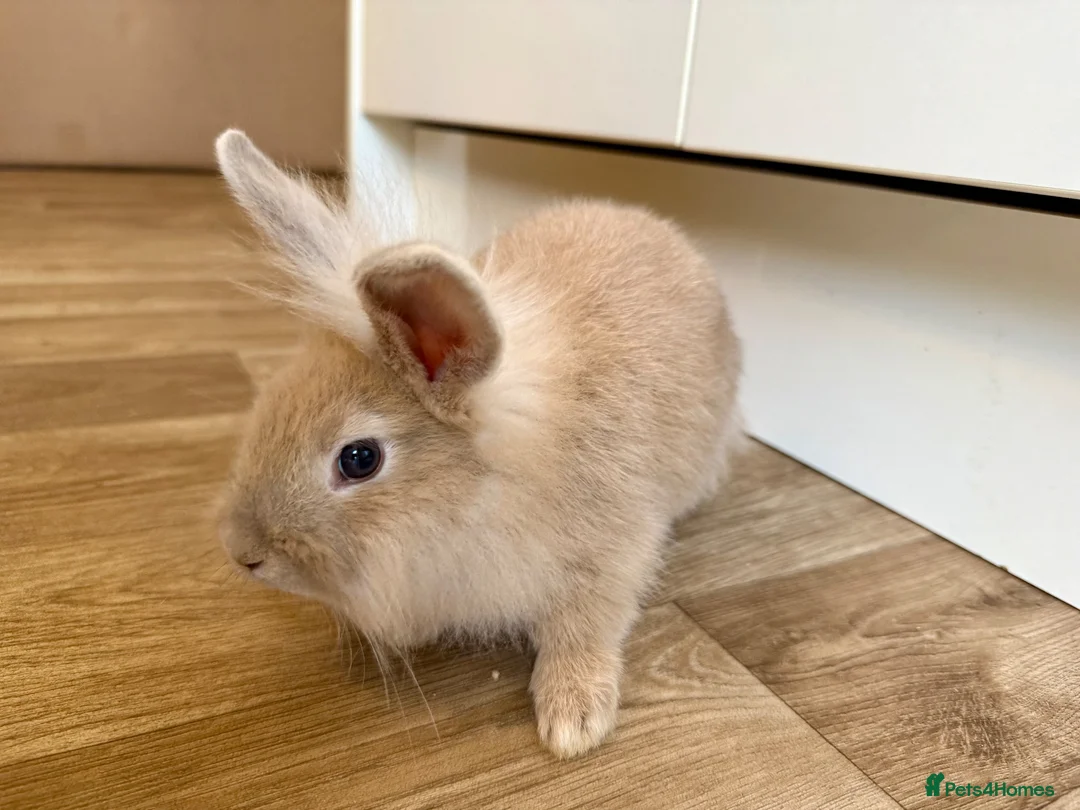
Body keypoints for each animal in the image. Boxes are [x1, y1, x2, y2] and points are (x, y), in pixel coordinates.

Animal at [215, 129, 743, 759]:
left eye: (359, 459)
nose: (243, 553)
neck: (491, 485)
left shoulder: (611, 557)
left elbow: (586, 627)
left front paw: (572, 722)